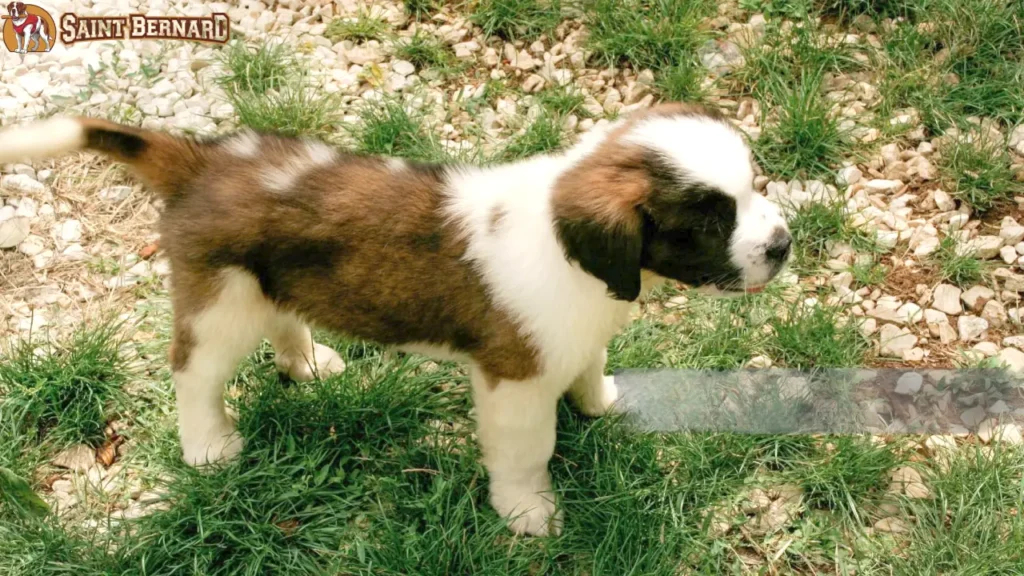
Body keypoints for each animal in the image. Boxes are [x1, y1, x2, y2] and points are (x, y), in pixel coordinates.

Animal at [0, 101, 790, 532]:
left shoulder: (579, 333)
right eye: (707, 222)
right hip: (223, 302)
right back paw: (209, 447)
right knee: (194, 374)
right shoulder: (514, 383)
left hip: (266, 288)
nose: (782, 245)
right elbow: (525, 454)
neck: (575, 255)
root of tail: (200, 162)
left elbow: (590, 367)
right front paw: (528, 512)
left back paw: (308, 363)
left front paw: (601, 403)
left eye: (756, 188)